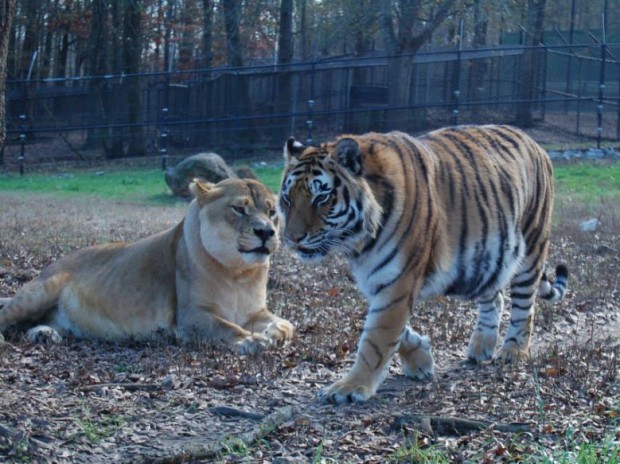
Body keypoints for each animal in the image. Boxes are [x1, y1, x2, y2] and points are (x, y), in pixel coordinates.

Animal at [278, 125, 568, 404]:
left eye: (321, 198)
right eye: (287, 199)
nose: (291, 238)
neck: (359, 243)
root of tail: (535, 143)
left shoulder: (398, 280)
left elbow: (377, 338)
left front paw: (351, 386)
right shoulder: (378, 280)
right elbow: (392, 329)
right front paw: (420, 361)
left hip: (531, 247)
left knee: (525, 305)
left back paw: (513, 351)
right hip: (486, 257)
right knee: (494, 297)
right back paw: (481, 347)